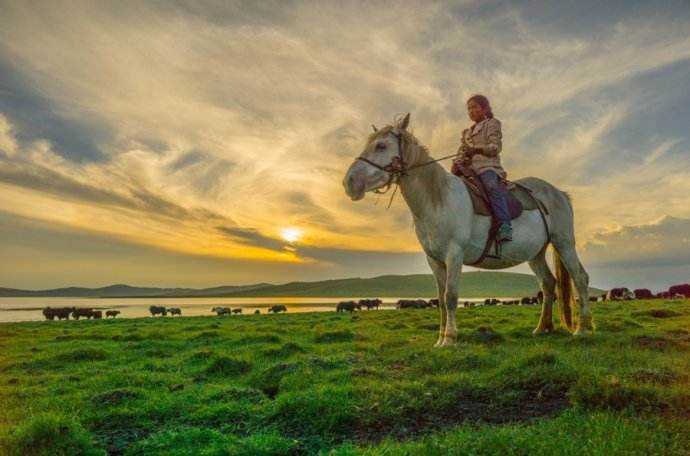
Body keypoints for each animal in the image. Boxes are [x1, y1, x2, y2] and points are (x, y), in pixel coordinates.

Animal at [342, 113, 592, 346]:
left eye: (381, 146)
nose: (349, 182)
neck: (438, 199)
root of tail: (559, 194)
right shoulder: (434, 260)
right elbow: (441, 300)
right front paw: (440, 339)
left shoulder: (454, 254)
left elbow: (451, 296)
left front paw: (450, 338)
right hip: (536, 254)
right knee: (548, 284)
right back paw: (542, 328)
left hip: (564, 243)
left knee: (580, 278)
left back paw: (582, 329)